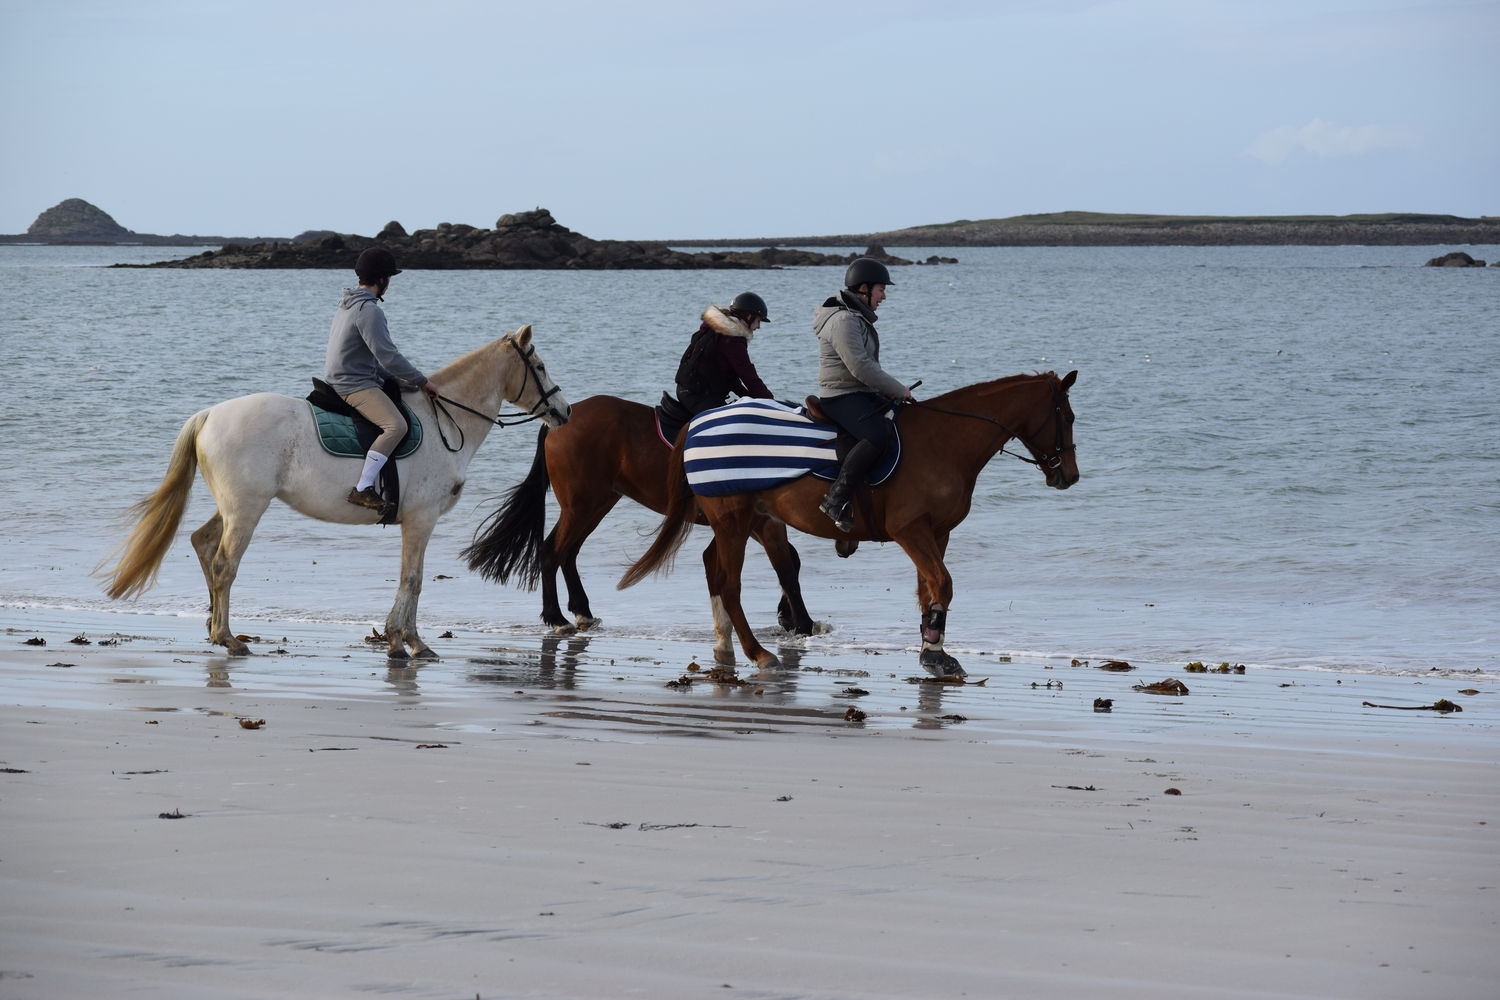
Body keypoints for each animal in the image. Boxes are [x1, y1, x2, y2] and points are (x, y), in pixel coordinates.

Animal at [99, 325, 567, 659]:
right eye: (541, 366)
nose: (564, 411)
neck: (444, 423)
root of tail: (211, 414)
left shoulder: (418, 522)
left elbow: (411, 579)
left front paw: (408, 641)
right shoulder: (421, 519)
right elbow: (412, 579)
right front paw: (405, 643)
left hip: (233, 506)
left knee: (202, 542)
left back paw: (215, 630)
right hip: (247, 510)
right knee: (224, 565)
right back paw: (229, 638)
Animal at [462, 392, 816, 641]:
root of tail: (559, 423)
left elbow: (791, 561)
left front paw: (787, 615)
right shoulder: (757, 520)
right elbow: (787, 565)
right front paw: (799, 621)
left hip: (596, 504)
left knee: (568, 552)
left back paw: (582, 612)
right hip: (582, 505)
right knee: (552, 551)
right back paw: (557, 618)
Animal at [621, 371, 1080, 677]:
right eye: (1070, 417)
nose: (1070, 476)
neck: (944, 440)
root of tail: (699, 421)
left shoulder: (937, 533)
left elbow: (928, 589)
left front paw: (931, 649)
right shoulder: (911, 530)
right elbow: (943, 584)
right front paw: (934, 651)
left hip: (739, 522)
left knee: (718, 577)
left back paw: (726, 648)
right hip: (733, 522)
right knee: (730, 586)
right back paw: (759, 653)